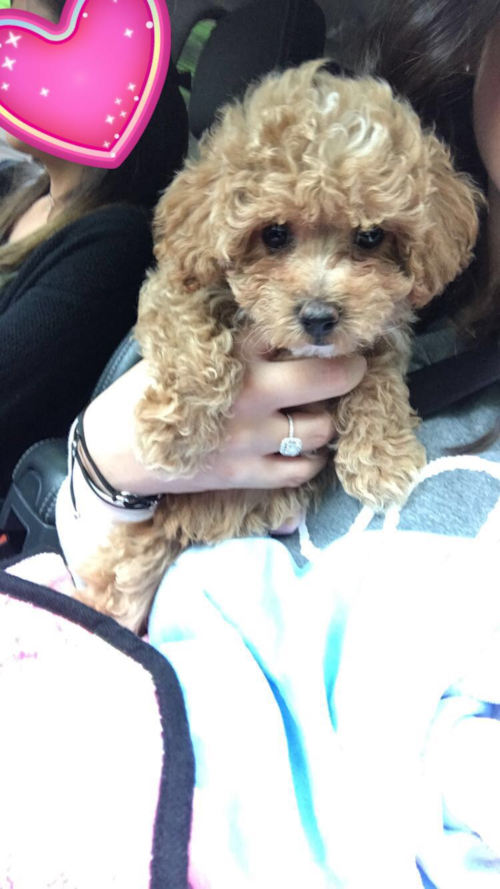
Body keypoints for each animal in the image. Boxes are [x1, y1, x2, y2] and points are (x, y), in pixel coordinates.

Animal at [77, 59, 480, 628]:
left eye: (370, 237)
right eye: (273, 234)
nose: (319, 317)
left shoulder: (384, 323)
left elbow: (377, 373)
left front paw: (382, 456)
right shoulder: (180, 285)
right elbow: (188, 333)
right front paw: (176, 434)